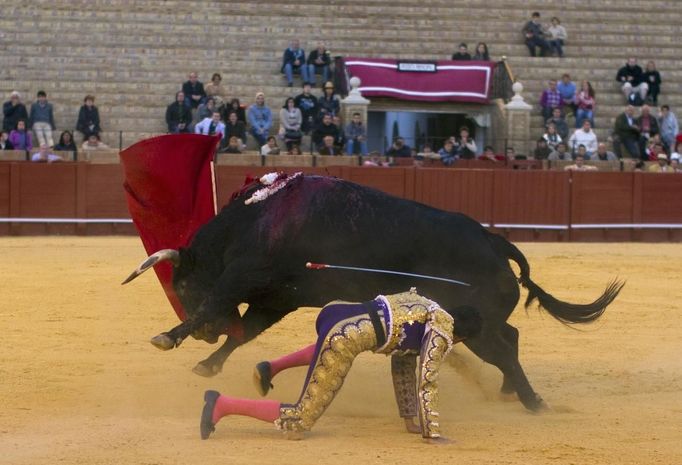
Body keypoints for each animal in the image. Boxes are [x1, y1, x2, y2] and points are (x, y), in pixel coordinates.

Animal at [123, 174, 620, 410]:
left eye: (181, 283)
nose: (204, 335)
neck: (258, 217)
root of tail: (493, 240)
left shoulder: (246, 276)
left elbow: (219, 303)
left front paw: (170, 337)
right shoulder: (280, 296)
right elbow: (244, 331)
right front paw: (208, 363)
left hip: (474, 322)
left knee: (504, 349)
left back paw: (534, 402)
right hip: (480, 321)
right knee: (510, 340)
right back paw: (507, 393)